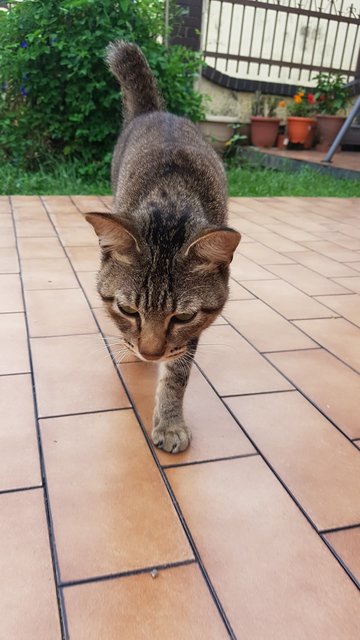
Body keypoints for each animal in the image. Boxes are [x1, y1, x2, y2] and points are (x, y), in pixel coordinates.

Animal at [86, 41, 240, 450]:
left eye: (183, 317)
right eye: (128, 309)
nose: (149, 352)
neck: (171, 204)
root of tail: (156, 112)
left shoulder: (190, 335)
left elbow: (177, 374)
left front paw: (170, 422)